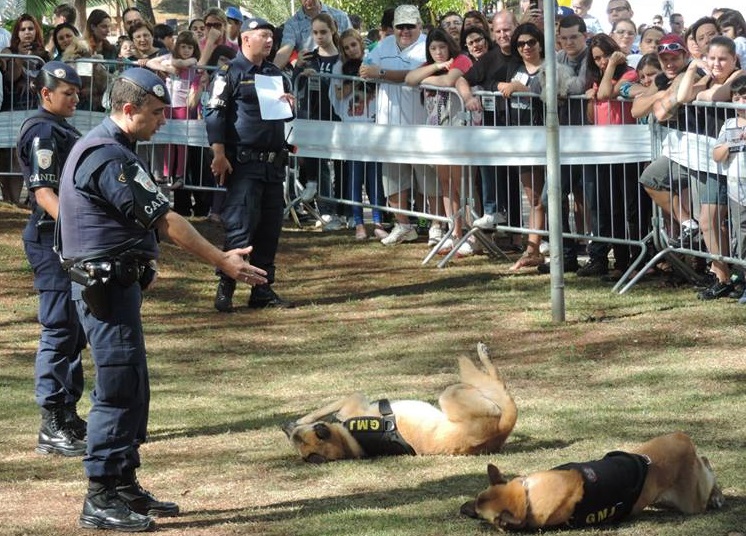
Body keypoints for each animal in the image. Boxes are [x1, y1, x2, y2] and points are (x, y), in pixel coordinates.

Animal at [282, 346, 516, 462]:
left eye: (295, 437)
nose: (284, 427)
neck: (347, 440)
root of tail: (499, 433)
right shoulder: (355, 400)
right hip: (451, 395)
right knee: (497, 385)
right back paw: (482, 357)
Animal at [460, 434, 720, 528]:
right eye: (476, 498)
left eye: (479, 513)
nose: (460, 509)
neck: (526, 498)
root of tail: (682, 438)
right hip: (660, 497)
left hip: (691, 502)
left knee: (706, 468)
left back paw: (717, 496)